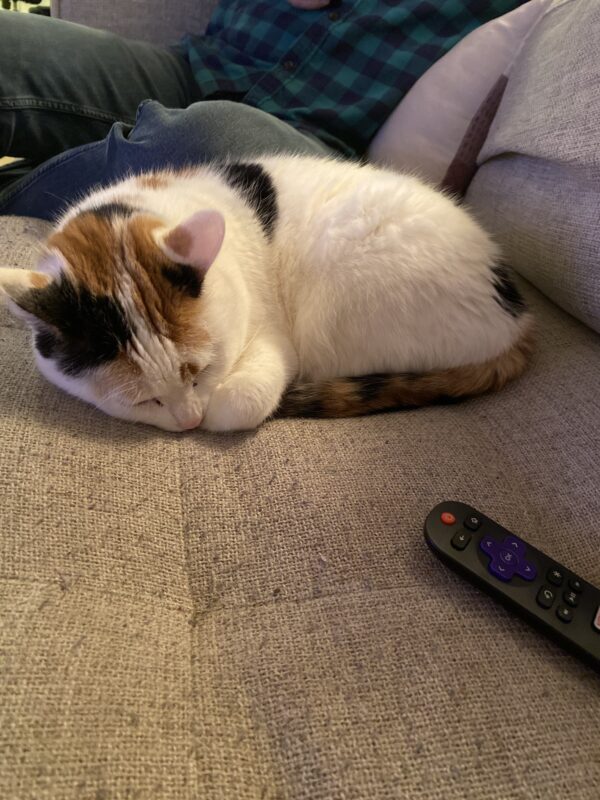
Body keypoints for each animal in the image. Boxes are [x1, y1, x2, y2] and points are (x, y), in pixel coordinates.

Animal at [0, 155, 536, 432]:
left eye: (200, 373)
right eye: (144, 401)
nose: (190, 421)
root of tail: (519, 320)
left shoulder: (275, 338)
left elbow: (242, 399)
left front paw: (217, 412)